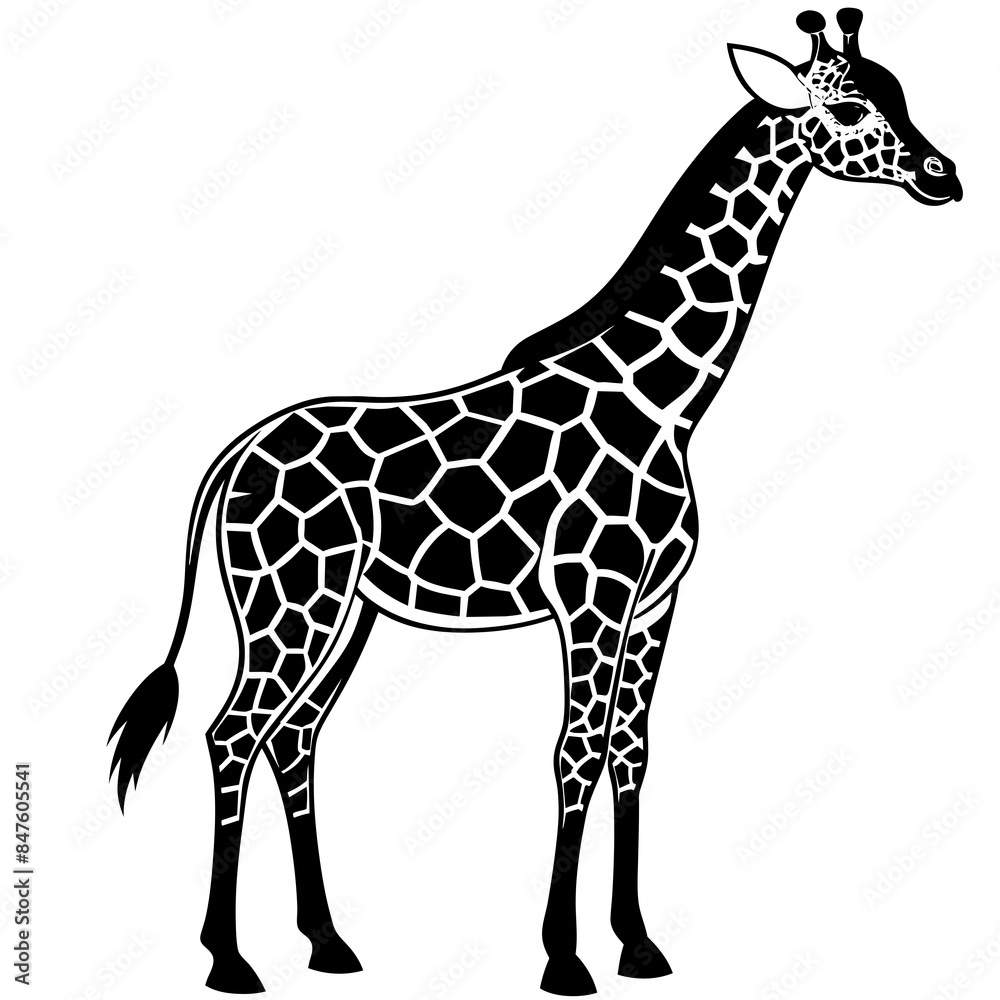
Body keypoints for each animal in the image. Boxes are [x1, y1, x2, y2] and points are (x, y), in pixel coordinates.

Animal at [108, 10, 961, 996]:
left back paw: (328, 942)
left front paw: (638, 944)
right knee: (233, 733)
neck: (665, 398)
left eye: (902, 89)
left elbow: (630, 752)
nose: (946, 175)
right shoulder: (592, 596)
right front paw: (564, 957)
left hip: (346, 613)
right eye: (853, 105)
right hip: (290, 603)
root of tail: (235, 454)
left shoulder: (657, 600)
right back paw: (229, 958)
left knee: (295, 740)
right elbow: (576, 751)